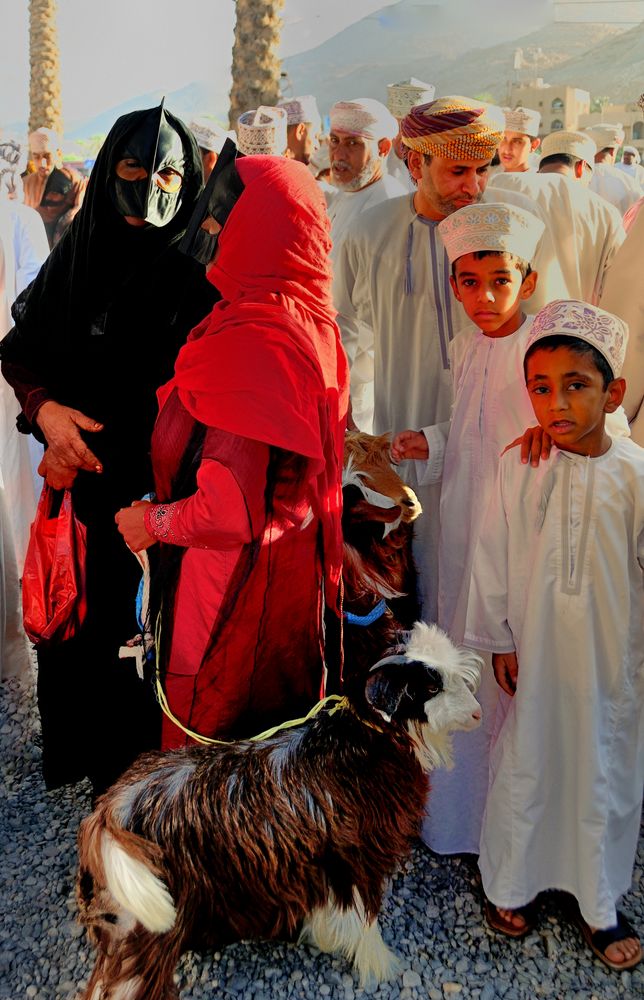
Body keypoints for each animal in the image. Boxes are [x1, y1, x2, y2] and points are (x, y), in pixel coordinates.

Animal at [76, 620, 478, 996]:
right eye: (430, 687)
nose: (476, 714)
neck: (365, 745)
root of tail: (109, 815)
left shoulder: (322, 866)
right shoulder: (358, 859)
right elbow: (365, 917)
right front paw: (380, 965)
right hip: (141, 925)